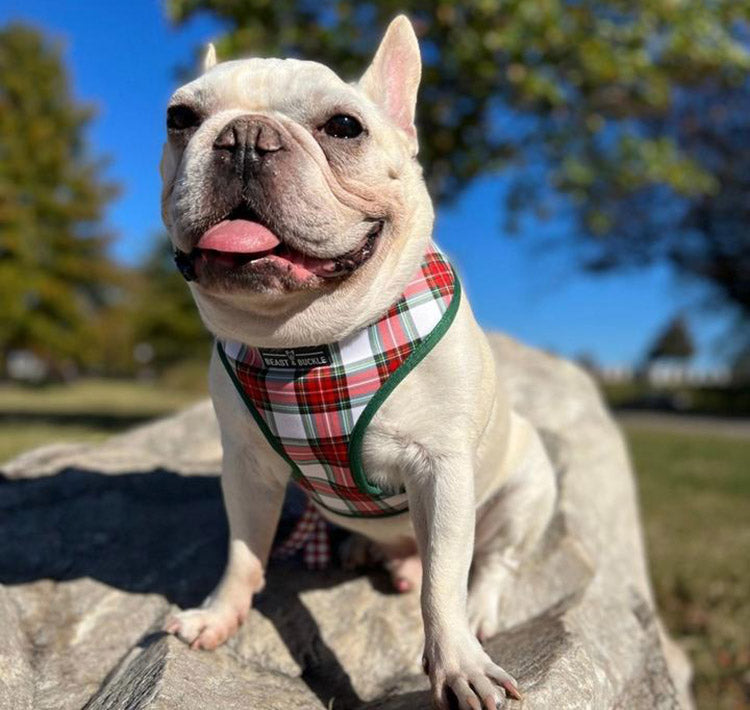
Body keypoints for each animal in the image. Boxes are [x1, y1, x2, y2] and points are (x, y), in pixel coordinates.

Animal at [160, 15, 560, 708]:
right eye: (180, 117)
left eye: (344, 127)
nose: (245, 137)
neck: (307, 341)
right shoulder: (246, 468)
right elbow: (243, 551)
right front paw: (218, 615)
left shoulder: (441, 470)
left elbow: (444, 581)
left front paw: (458, 662)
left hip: (529, 490)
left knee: (490, 563)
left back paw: (477, 609)